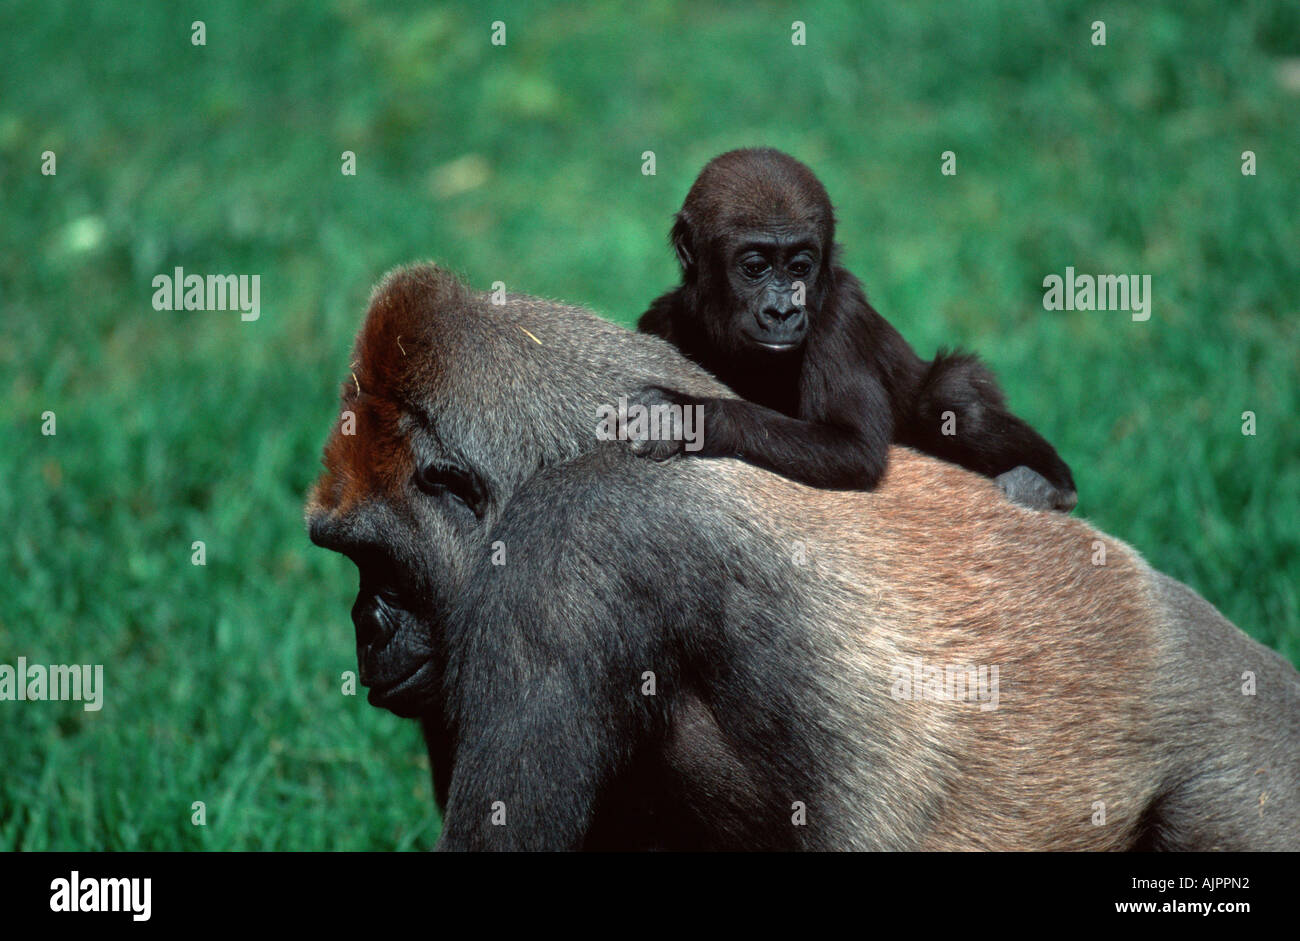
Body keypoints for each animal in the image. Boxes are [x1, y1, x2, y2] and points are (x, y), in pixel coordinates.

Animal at [635, 148, 1078, 511]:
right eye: (755, 267)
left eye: (800, 268)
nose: (782, 311)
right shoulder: (659, 321)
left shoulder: (840, 315)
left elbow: (853, 449)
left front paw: (687, 415)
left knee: (954, 403)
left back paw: (1052, 485)